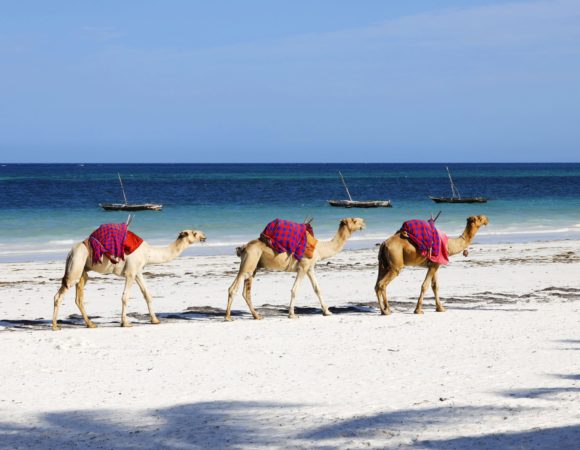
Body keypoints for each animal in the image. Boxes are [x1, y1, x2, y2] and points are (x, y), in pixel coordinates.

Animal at [52, 229, 206, 330]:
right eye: (194, 233)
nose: (204, 236)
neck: (149, 253)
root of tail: (70, 252)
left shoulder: (138, 272)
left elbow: (147, 294)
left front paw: (155, 320)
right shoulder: (130, 272)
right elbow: (125, 297)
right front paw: (125, 323)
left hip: (83, 271)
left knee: (79, 298)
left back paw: (90, 324)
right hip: (76, 266)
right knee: (59, 295)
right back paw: (55, 326)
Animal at [225, 217, 364, 320]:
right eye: (354, 220)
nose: (364, 222)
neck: (319, 249)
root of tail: (244, 247)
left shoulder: (310, 268)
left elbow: (317, 288)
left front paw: (327, 311)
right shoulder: (303, 266)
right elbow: (294, 290)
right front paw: (292, 314)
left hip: (254, 266)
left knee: (246, 292)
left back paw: (257, 316)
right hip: (249, 261)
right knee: (234, 288)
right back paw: (228, 317)